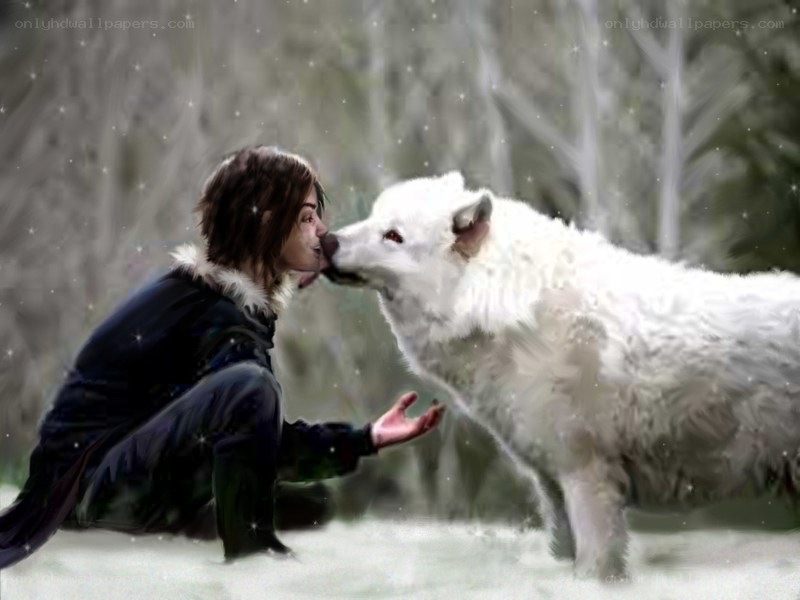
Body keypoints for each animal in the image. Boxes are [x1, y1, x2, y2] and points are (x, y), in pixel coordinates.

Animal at [318, 171, 800, 580]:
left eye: (393, 236)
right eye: (374, 217)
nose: (325, 240)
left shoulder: (587, 477)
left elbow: (596, 567)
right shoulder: (550, 482)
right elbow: (563, 555)